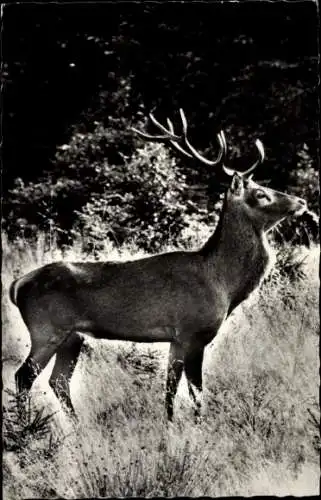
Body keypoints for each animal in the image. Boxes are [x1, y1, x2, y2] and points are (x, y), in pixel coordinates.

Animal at [8, 110, 306, 422]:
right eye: (261, 194)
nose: (301, 201)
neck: (221, 283)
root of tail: (17, 285)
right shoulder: (193, 331)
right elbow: (197, 393)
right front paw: (200, 427)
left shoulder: (176, 339)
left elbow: (170, 388)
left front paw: (170, 423)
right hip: (46, 328)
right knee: (23, 376)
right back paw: (25, 426)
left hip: (72, 336)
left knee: (59, 380)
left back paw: (77, 428)